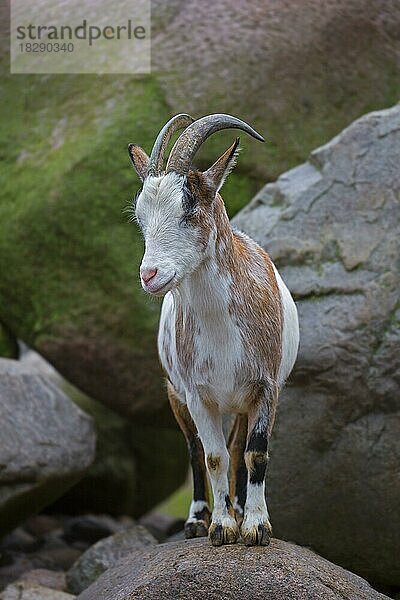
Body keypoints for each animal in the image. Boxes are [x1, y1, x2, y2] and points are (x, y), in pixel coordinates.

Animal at [128, 113, 300, 548]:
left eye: (189, 208)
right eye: (140, 217)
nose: (149, 275)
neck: (222, 330)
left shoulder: (266, 387)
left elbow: (255, 453)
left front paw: (255, 527)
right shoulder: (197, 394)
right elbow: (212, 456)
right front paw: (221, 528)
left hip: (241, 402)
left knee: (239, 447)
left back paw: (239, 508)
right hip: (176, 394)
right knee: (194, 450)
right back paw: (197, 520)